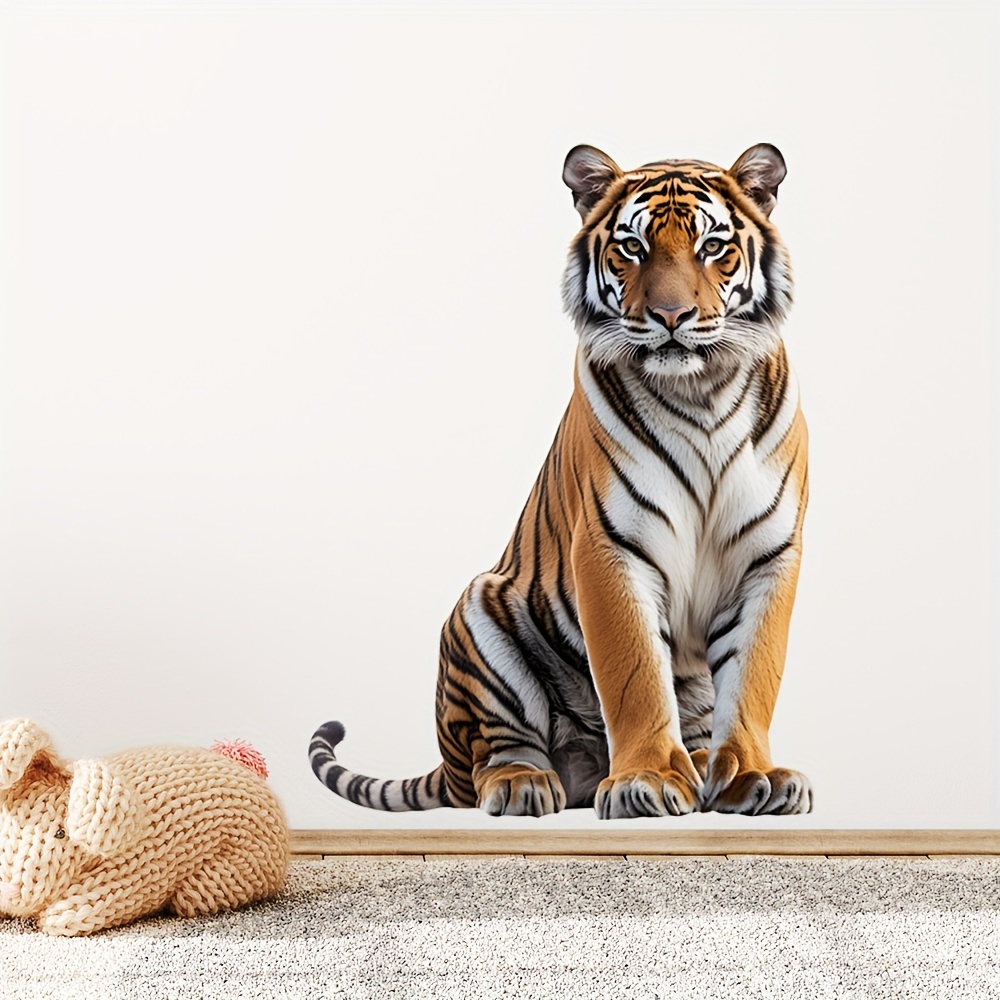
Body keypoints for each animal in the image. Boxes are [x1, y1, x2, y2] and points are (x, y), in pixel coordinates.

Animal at [310, 142, 811, 818]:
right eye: (633, 247)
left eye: (712, 247)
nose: (671, 316)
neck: (700, 389)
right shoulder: (609, 547)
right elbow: (634, 677)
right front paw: (648, 779)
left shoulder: (769, 554)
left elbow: (754, 677)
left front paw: (751, 775)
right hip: (478, 617)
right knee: (496, 753)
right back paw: (526, 783)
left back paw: (702, 765)